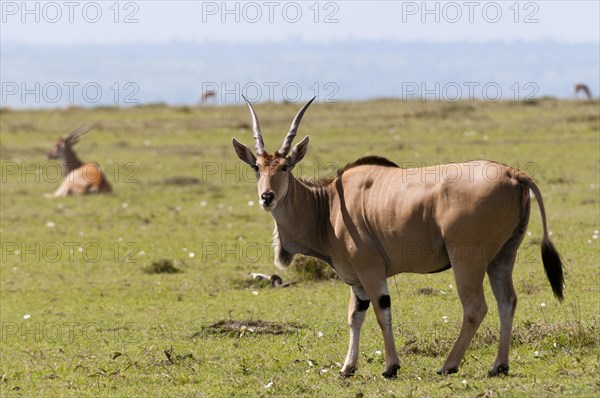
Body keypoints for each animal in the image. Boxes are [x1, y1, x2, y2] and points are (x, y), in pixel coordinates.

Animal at [232, 98, 564, 378]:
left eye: (285, 166)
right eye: (257, 167)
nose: (267, 197)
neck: (328, 205)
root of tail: (513, 173)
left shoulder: (370, 270)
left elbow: (382, 311)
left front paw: (390, 367)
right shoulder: (356, 280)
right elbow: (355, 316)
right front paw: (347, 368)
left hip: (467, 260)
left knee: (475, 307)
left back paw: (449, 365)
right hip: (503, 257)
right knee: (507, 301)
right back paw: (499, 365)